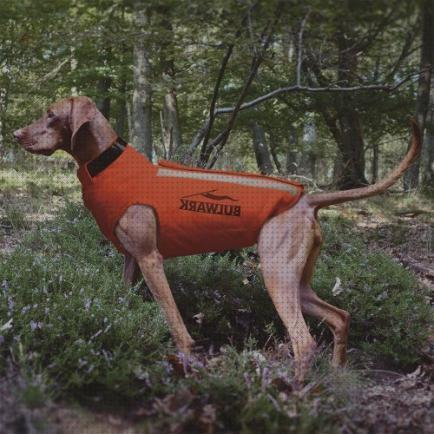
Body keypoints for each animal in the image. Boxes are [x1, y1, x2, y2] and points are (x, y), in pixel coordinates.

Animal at [13, 96, 420, 384]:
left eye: (51, 114)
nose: (15, 135)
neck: (107, 163)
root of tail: (306, 200)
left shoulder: (150, 258)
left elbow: (175, 321)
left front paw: (187, 360)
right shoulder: (130, 260)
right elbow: (122, 301)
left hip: (276, 276)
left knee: (304, 343)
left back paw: (292, 395)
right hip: (298, 282)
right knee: (339, 317)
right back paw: (335, 377)